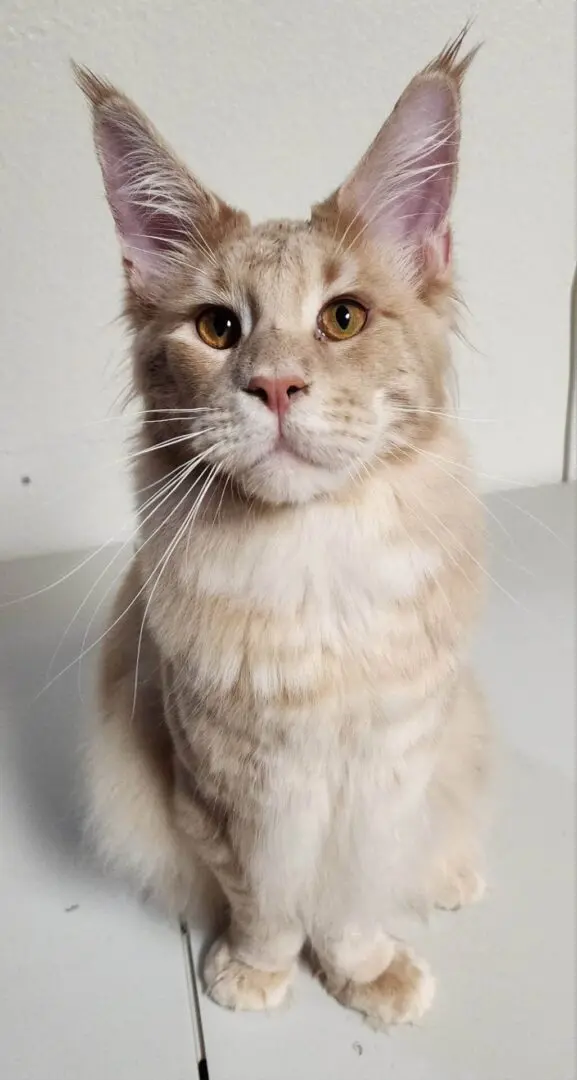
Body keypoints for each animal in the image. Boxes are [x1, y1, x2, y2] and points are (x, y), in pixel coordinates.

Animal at [76, 23, 492, 1019]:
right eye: (217, 329)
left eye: (342, 319)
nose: (272, 386)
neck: (313, 563)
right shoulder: (226, 787)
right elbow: (264, 899)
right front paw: (256, 973)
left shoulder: (388, 770)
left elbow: (346, 903)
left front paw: (366, 972)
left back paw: (451, 876)